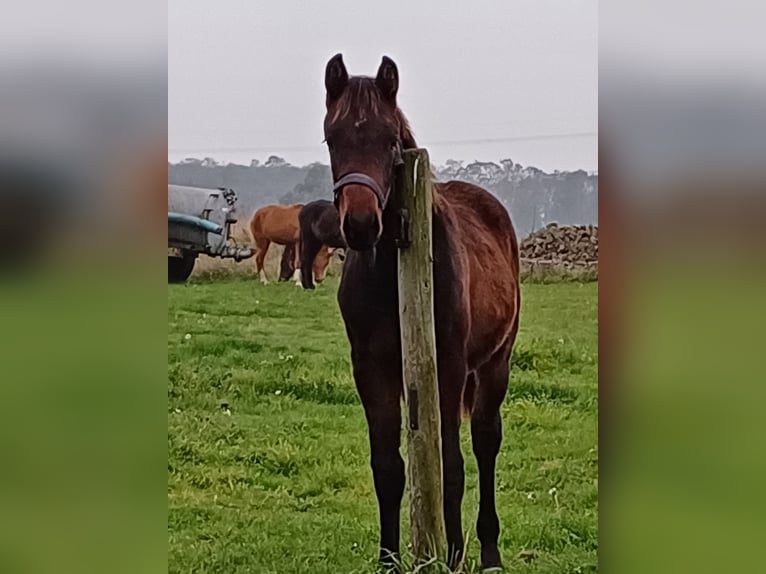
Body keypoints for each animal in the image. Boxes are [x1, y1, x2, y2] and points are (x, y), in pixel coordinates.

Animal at [324, 53, 520, 572]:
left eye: (390, 138)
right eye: (332, 137)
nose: (360, 224)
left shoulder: (447, 366)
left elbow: (451, 465)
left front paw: (452, 555)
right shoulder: (371, 368)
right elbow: (389, 468)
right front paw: (388, 559)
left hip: (495, 363)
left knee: (485, 441)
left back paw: (488, 550)